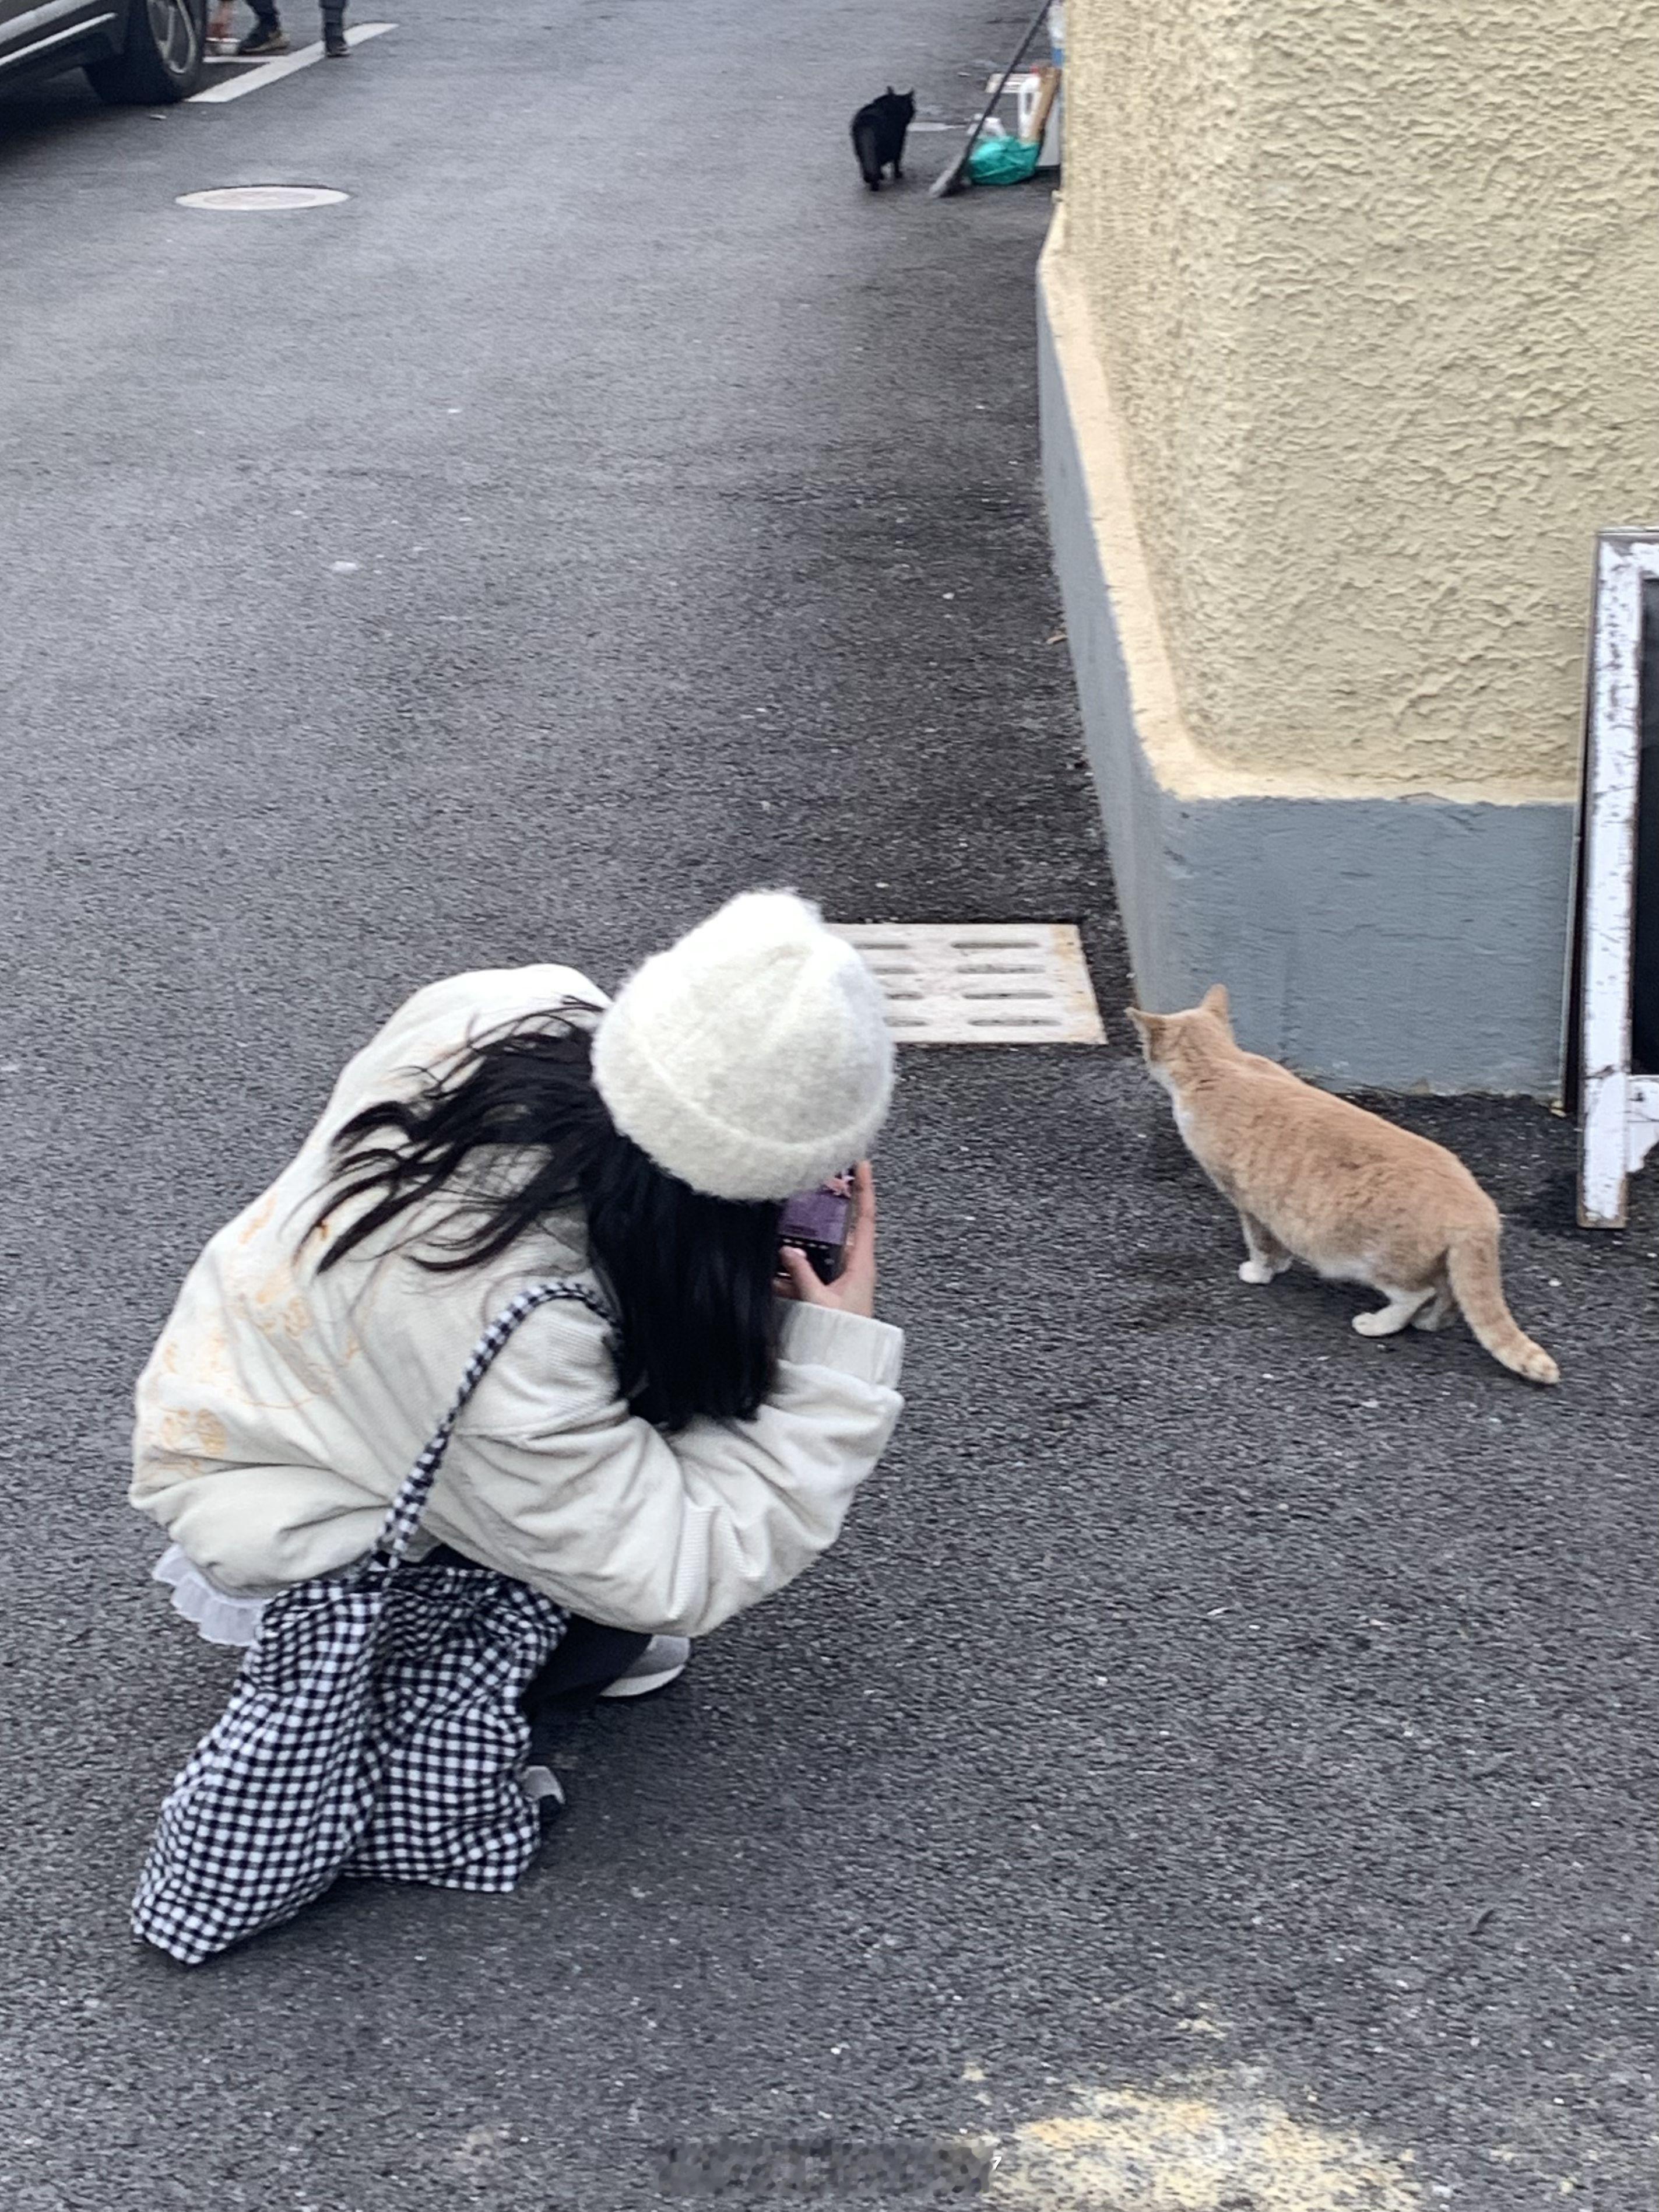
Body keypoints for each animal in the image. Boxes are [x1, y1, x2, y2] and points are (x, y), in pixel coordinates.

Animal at [849, 89, 915, 191]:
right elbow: (897, 160)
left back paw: (870, 179)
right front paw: (897, 174)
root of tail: (867, 122)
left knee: (866, 165)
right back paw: (877, 181)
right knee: (877, 164)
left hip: (859, 148)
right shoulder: (900, 142)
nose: (913, 112)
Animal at [1132, 986, 1557, 1380]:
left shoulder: (1245, 1200)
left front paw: (1261, 1272)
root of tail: (1478, 1209)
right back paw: (1432, 1323)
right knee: (1450, 1296)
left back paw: (1379, 1324)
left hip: (1369, 1258)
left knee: (1417, 1294)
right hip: (1439, 1261)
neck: (1220, 1064)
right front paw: (1281, 1264)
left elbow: (1260, 1244)